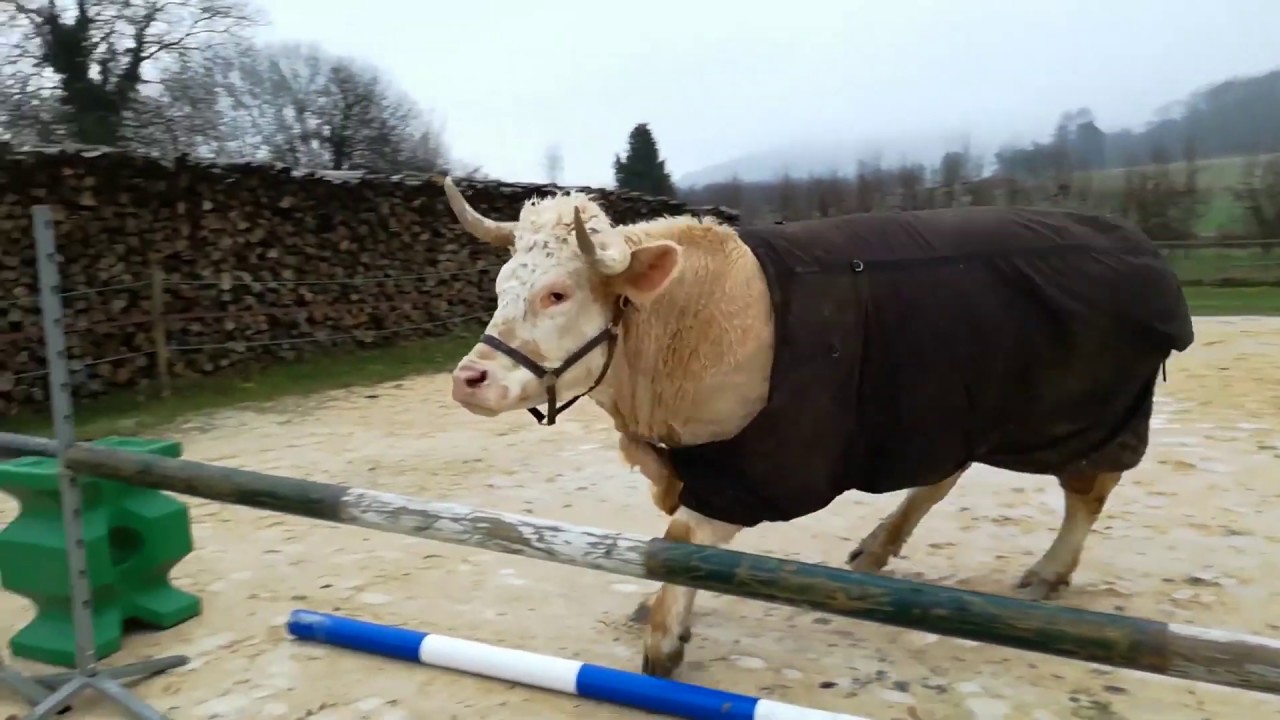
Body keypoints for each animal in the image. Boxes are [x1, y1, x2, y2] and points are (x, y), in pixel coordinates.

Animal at [440, 175, 1195, 678]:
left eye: (557, 293)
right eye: (501, 286)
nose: (466, 379)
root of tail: (1141, 249)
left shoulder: (756, 477)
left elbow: (683, 542)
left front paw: (663, 639)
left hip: (1088, 413)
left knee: (1088, 491)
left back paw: (1049, 570)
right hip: (954, 405)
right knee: (943, 476)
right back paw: (878, 547)